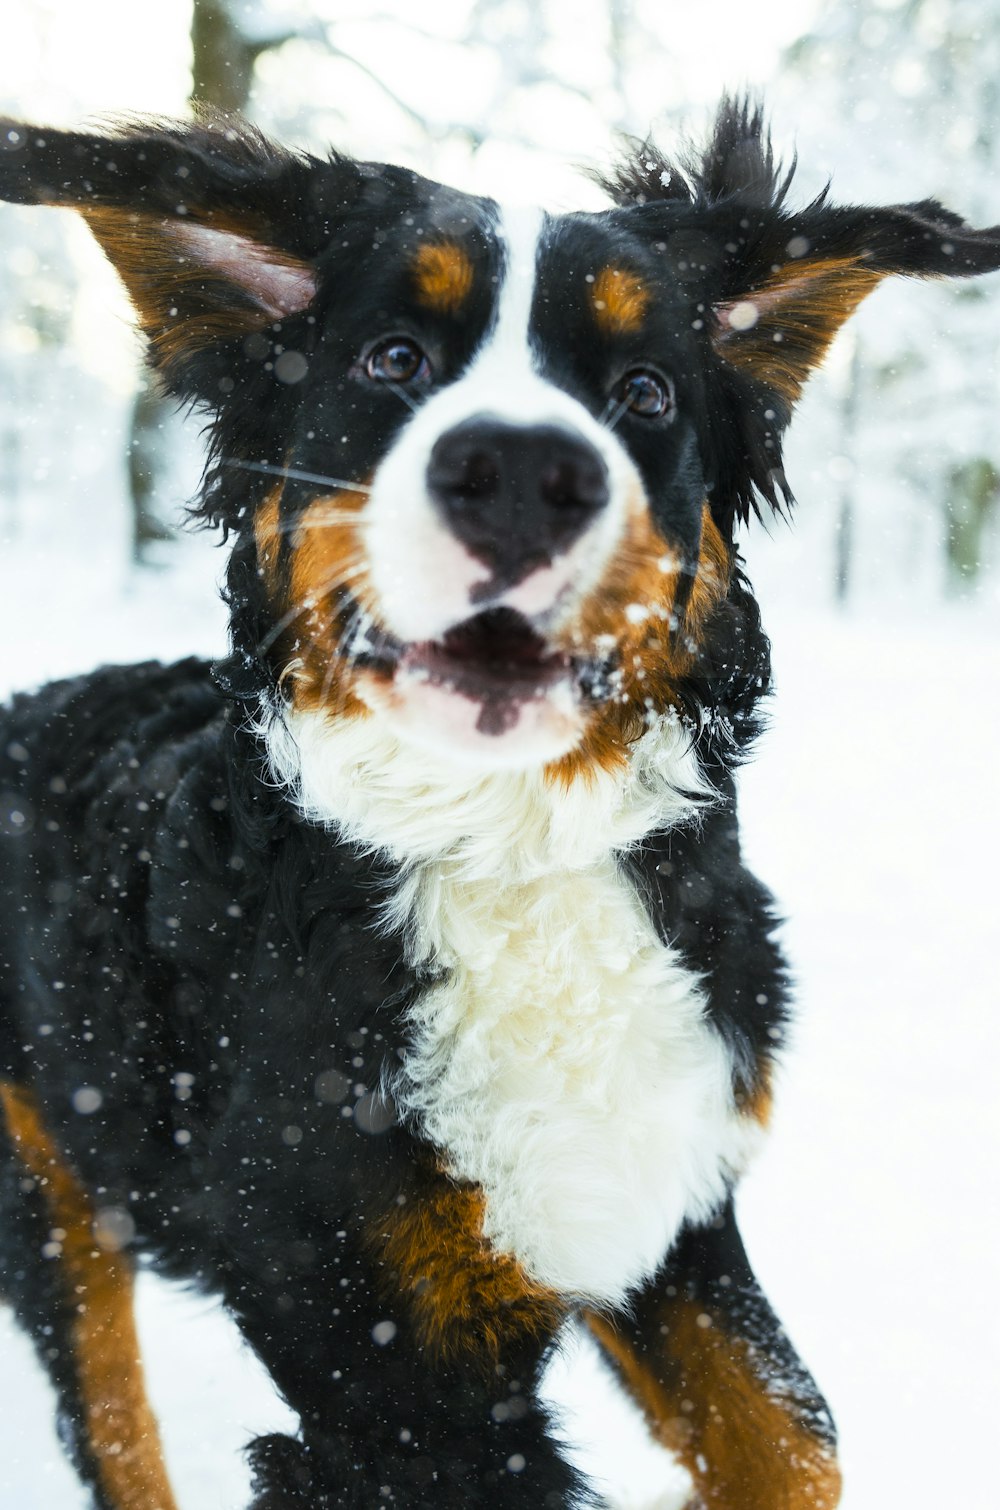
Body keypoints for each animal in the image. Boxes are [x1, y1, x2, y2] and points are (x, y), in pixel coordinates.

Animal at [1, 97, 1000, 1510]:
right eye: (393, 358)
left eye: (643, 390)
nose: (524, 471)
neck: (510, 853)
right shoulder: (389, 1360)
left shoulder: (668, 1208)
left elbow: (794, 1434)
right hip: (52, 1202)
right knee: (115, 1427)